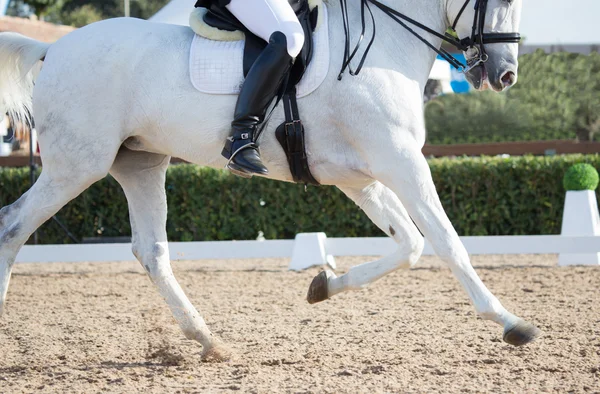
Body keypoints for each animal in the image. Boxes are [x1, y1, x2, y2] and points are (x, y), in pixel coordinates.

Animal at [0, 0, 540, 360]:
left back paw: (209, 341)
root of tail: (53, 48)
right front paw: (510, 322)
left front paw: (323, 285)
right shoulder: (401, 161)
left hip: (140, 164)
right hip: (77, 165)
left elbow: (409, 244)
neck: (384, 44)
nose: (506, 75)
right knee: (13, 224)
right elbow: (447, 242)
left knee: (150, 252)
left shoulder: (360, 177)